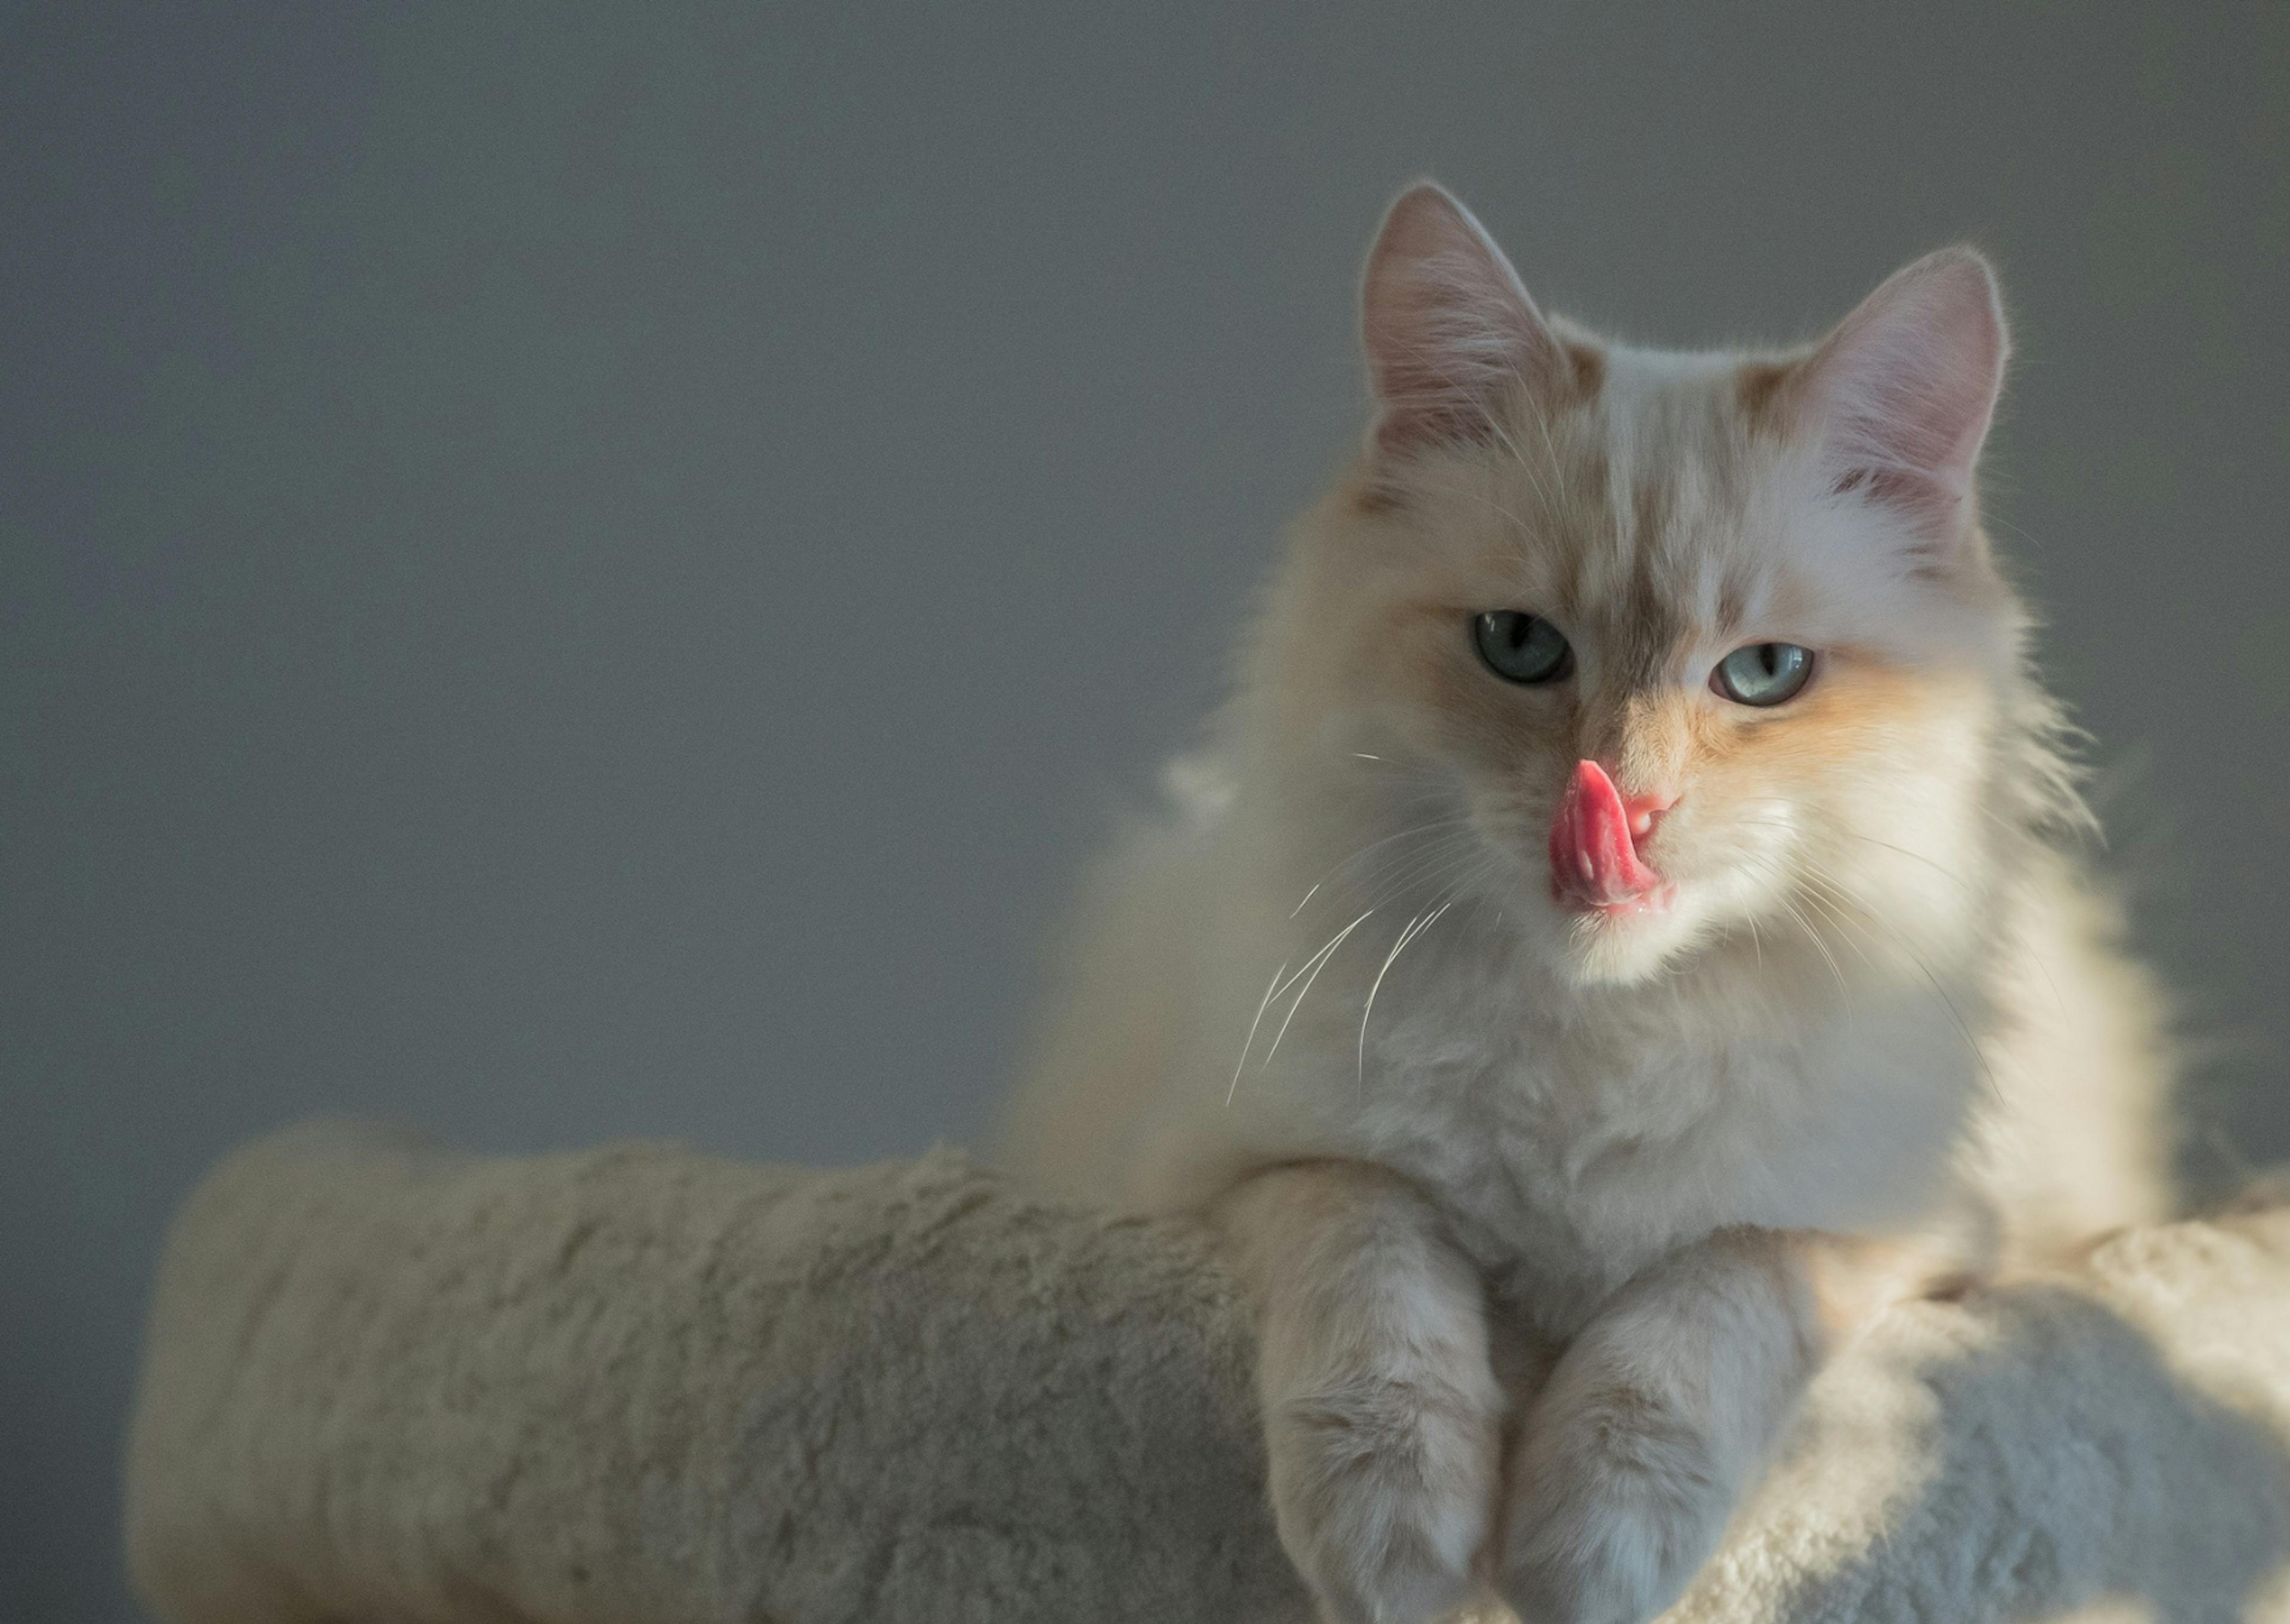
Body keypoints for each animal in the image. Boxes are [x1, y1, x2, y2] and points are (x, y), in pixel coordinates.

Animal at [994, 181, 2171, 1622]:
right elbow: (1376, 1271)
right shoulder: (1232, 1167)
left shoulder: (1909, 1232)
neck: (1602, 1038)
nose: (1623, 808)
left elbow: (1697, 1316)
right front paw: (1403, 1548)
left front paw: (1582, 1557)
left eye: (1764, 674)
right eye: (1518, 647)